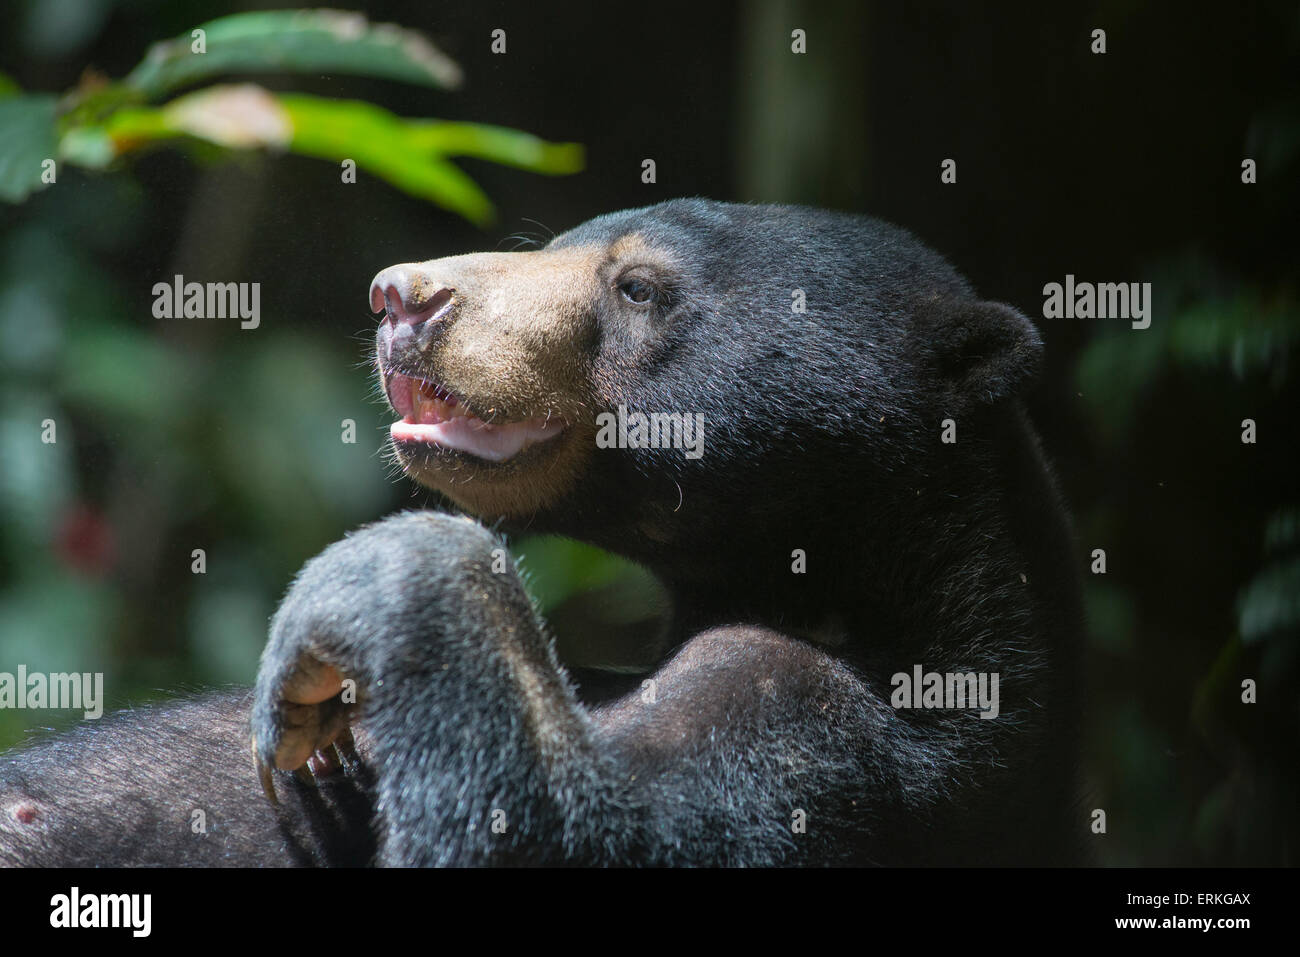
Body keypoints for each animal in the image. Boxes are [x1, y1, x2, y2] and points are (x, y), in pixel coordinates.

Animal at [2, 200, 1086, 868]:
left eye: (638, 286)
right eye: (549, 240)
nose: (400, 296)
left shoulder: (850, 746)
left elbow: (554, 830)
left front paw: (351, 611)